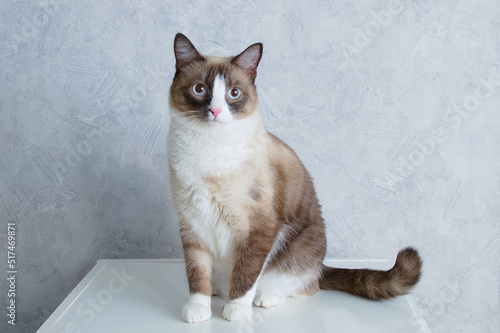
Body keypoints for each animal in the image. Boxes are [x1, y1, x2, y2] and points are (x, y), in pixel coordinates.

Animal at [168, 32, 422, 320]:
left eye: (234, 93)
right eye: (199, 90)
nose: (216, 112)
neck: (210, 151)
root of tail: (321, 266)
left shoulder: (259, 228)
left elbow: (246, 273)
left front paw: (236, 309)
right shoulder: (191, 223)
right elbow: (196, 273)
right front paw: (197, 309)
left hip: (295, 248)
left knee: (302, 286)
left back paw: (264, 298)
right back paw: (215, 289)